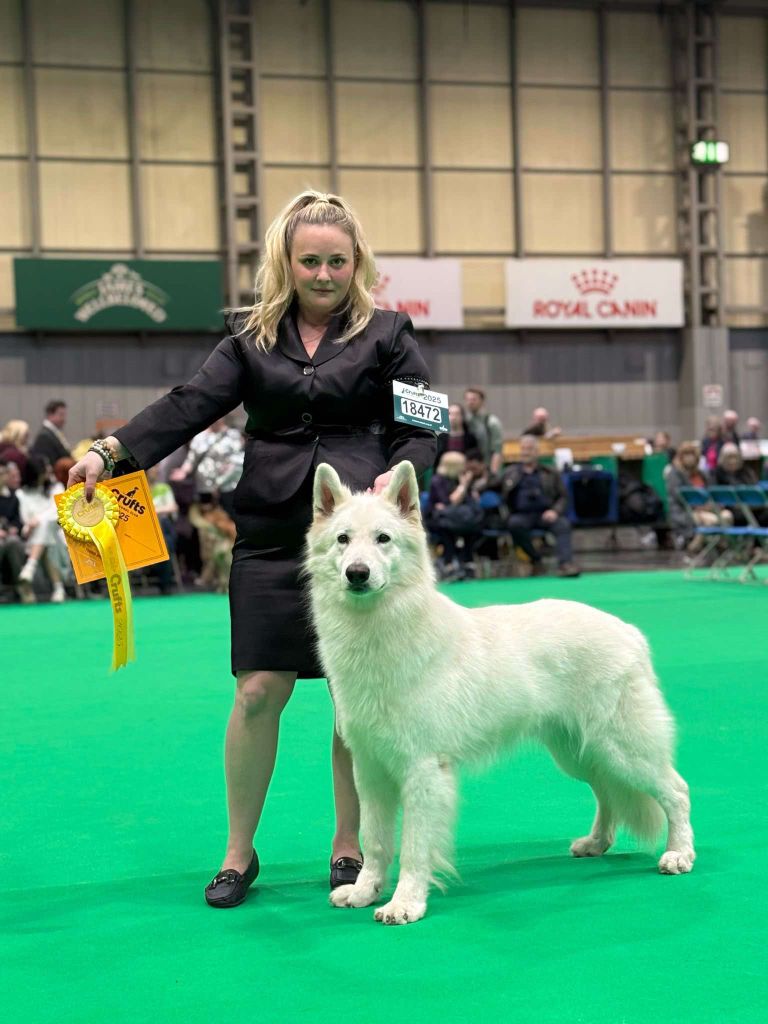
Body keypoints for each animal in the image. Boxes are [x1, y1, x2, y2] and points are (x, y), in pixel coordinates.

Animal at [307, 460, 696, 925]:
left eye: (383, 539)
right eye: (343, 540)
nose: (357, 574)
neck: (382, 630)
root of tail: (630, 633)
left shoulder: (422, 770)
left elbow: (415, 846)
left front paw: (405, 903)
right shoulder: (370, 769)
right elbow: (376, 839)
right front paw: (364, 891)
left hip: (623, 748)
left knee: (676, 790)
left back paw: (679, 854)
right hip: (580, 753)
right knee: (607, 793)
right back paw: (596, 843)